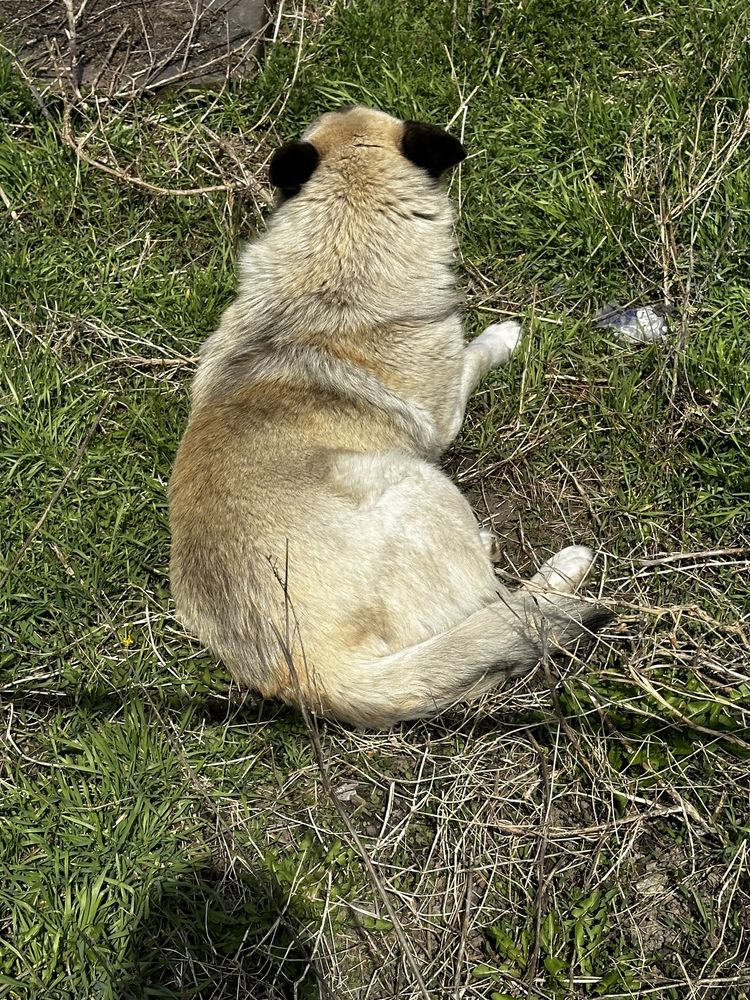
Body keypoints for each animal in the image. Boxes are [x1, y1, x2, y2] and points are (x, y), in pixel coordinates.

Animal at [169, 107, 612, 728]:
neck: (336, 263)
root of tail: (313, 672)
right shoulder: (447, 403)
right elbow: (472, 354)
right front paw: (501, 337)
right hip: (418, 486)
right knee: (502, 610)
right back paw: (559, 572)